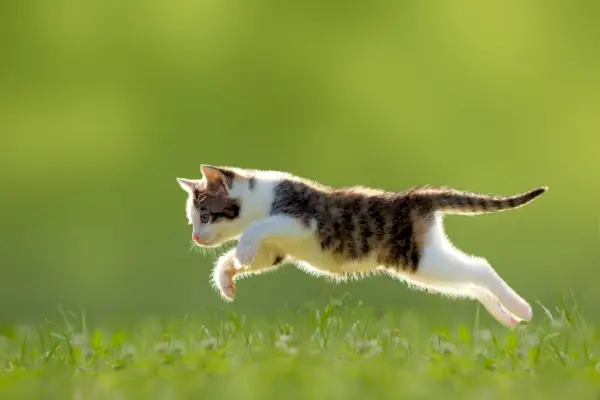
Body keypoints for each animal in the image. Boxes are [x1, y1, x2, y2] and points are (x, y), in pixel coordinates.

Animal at [176, 165, 548, 328]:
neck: (260, 197)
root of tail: (416, 197)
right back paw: (507, 316)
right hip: (427, 264)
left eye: (206, 216)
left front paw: (241, 249)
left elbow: (257, 227)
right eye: (193, 220)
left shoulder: (300, 218)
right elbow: (250, 256)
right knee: (470, 282)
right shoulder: (275, 250)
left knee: (480, 268)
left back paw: (522, 308)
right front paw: (227, 277)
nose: (195, 237)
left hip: (420, 259)